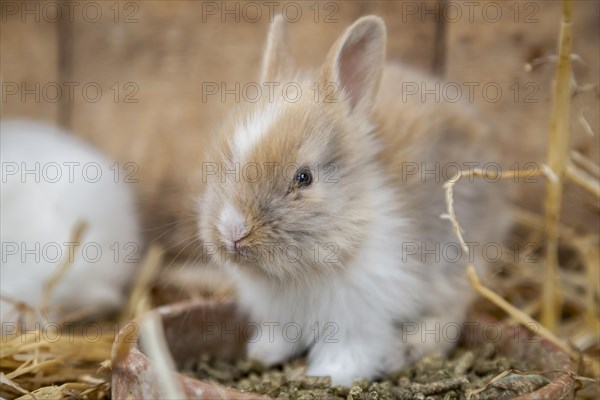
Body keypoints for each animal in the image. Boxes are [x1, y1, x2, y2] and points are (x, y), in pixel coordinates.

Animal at [198, 16, 510, 384]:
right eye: (225, 163)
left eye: (304, 178)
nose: (233, 231)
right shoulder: (281, 315)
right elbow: (281, 334)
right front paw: (263, 353)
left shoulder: (361, 317)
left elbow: (350, 351)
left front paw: (328, 376)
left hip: (456, 260)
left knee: (450, 315)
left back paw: (404, 352)